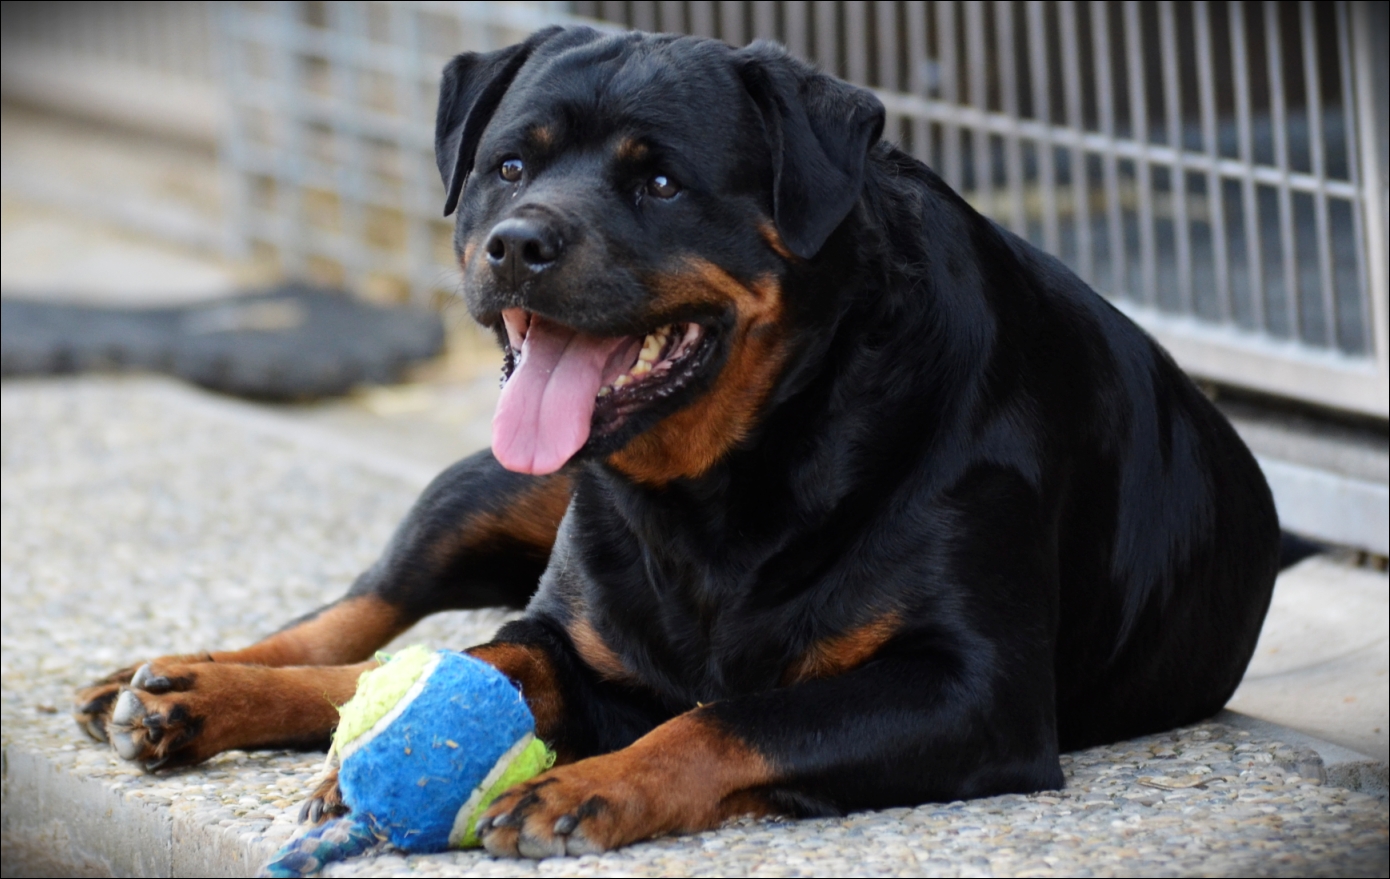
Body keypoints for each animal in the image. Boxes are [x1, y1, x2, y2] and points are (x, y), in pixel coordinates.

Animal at [70, 29, 1273, 856]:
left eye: (659, 179)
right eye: (511, 167)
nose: (517, 242)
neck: (725, 482)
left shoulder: (973, 690)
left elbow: (737, 715)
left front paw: (582, 785)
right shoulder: (570, 633)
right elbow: (488, 656)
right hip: (487, 488)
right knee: (362, 616)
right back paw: (178, 687)